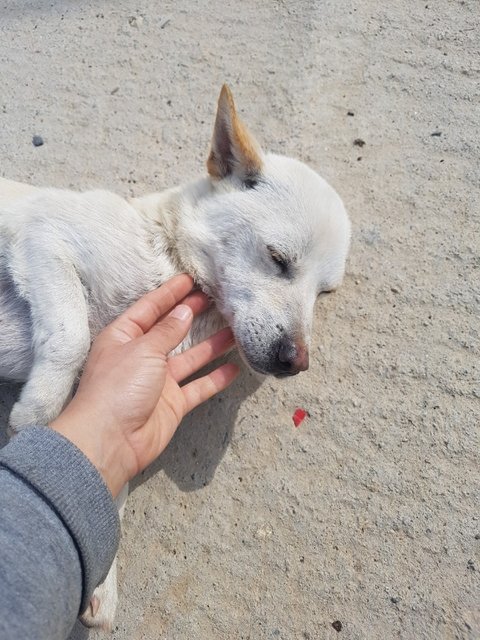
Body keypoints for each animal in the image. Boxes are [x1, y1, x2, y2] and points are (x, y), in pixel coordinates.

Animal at [0, 85, 351, 628]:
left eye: (325, 294)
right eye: (278, 259)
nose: (297, 360)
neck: (168, 260)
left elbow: (105, 471)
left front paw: (102, 580)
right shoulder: (43, 239)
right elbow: (69, 336)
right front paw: (38, 405)